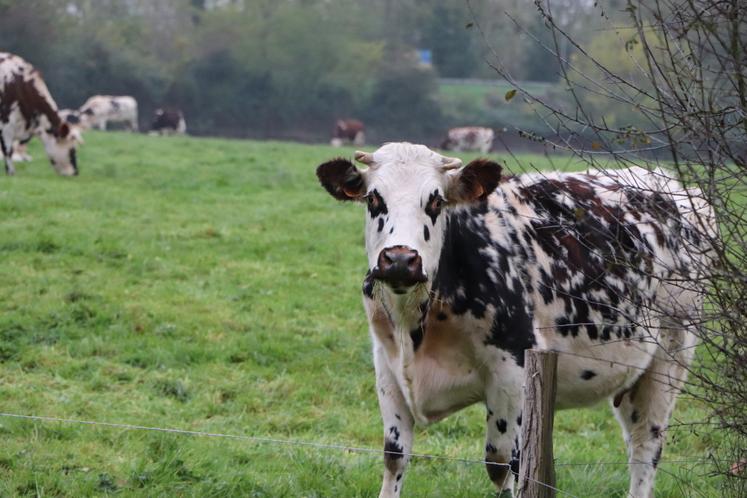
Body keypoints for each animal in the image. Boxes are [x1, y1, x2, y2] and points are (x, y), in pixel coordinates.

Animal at [316, 143, 712, 498]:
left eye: (435, 201)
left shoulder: (513, 368)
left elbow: (503, 463)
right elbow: (395, 457)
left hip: (670, 358)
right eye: (373, 199)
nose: (400, 260)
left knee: (646, 447)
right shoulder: (388, 367)